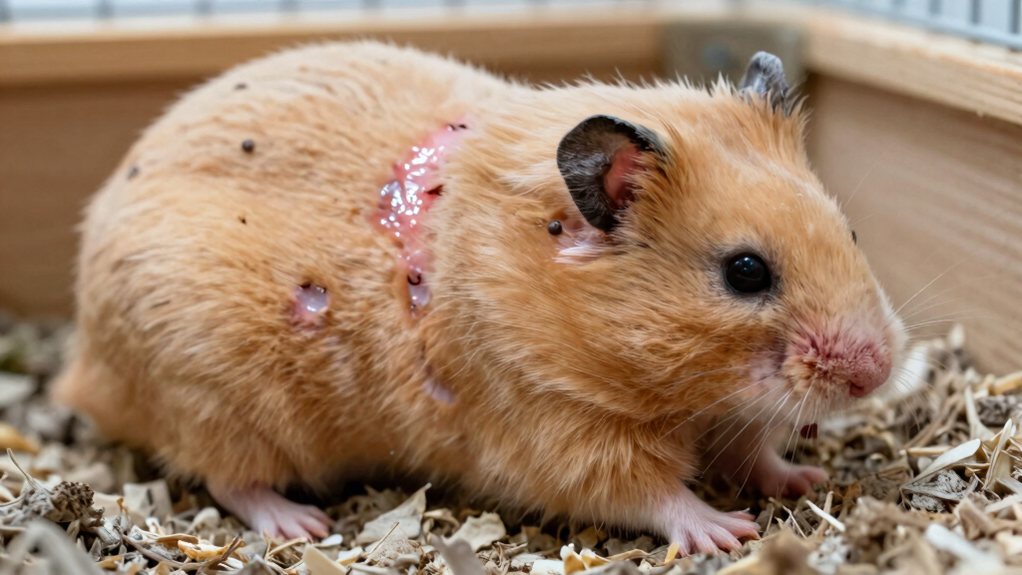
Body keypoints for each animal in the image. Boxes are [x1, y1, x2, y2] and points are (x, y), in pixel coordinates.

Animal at [53, 41, 907, 554]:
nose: (876, 370)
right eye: (746, 272)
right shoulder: (558, 431)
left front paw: (803, 480)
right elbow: (650, 493)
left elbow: (754, 450)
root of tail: (83, 362)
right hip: (221, 401)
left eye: (851, 231)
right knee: (232, 479)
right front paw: (726, 531)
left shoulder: (729, 414)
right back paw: (303, 521)